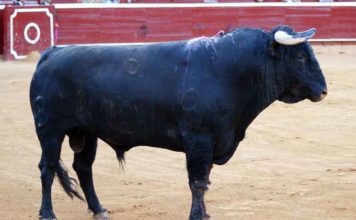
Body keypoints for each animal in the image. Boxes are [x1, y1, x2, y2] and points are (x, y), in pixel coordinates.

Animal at [30, 24, 328, 219]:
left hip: (86, 131)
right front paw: (197, 216)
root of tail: (51, 53)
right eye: (300, 58)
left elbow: (204, 180)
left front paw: (204, 215)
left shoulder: (212, 142)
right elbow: (197, 182)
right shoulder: (199, 140)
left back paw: (99, 209)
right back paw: (47, 213)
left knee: (83, 167)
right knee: (47, 168)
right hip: (50, 130)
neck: (229, 70)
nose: (324, 91)